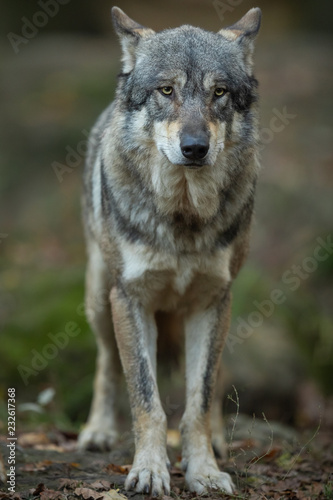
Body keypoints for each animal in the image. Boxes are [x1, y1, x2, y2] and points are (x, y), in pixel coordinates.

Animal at [78, 6, 260, 496]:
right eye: (166, 90)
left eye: (219, 92)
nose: (195, 148)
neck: (183, 217)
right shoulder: (130, 299)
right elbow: (147, 400)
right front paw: (149, 471)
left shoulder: (213, 301)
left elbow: (198, 401)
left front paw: (205, 471)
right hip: (99, 300)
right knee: (105, 362)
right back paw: (97, 431)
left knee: (215, 382)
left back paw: (218, 440)